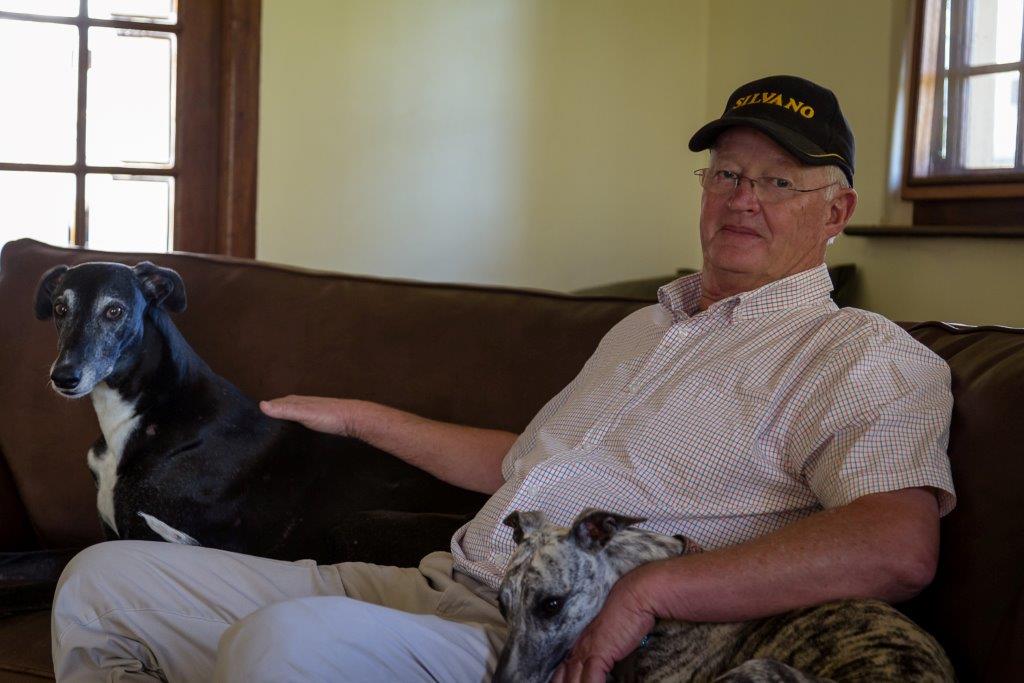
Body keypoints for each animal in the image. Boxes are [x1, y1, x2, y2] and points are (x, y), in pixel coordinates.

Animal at [32, 259, 479, 565]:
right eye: (59, 308)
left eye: (115, 311)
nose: (64, 377)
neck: (146, 413)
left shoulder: (148, 534)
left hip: (357, 525)